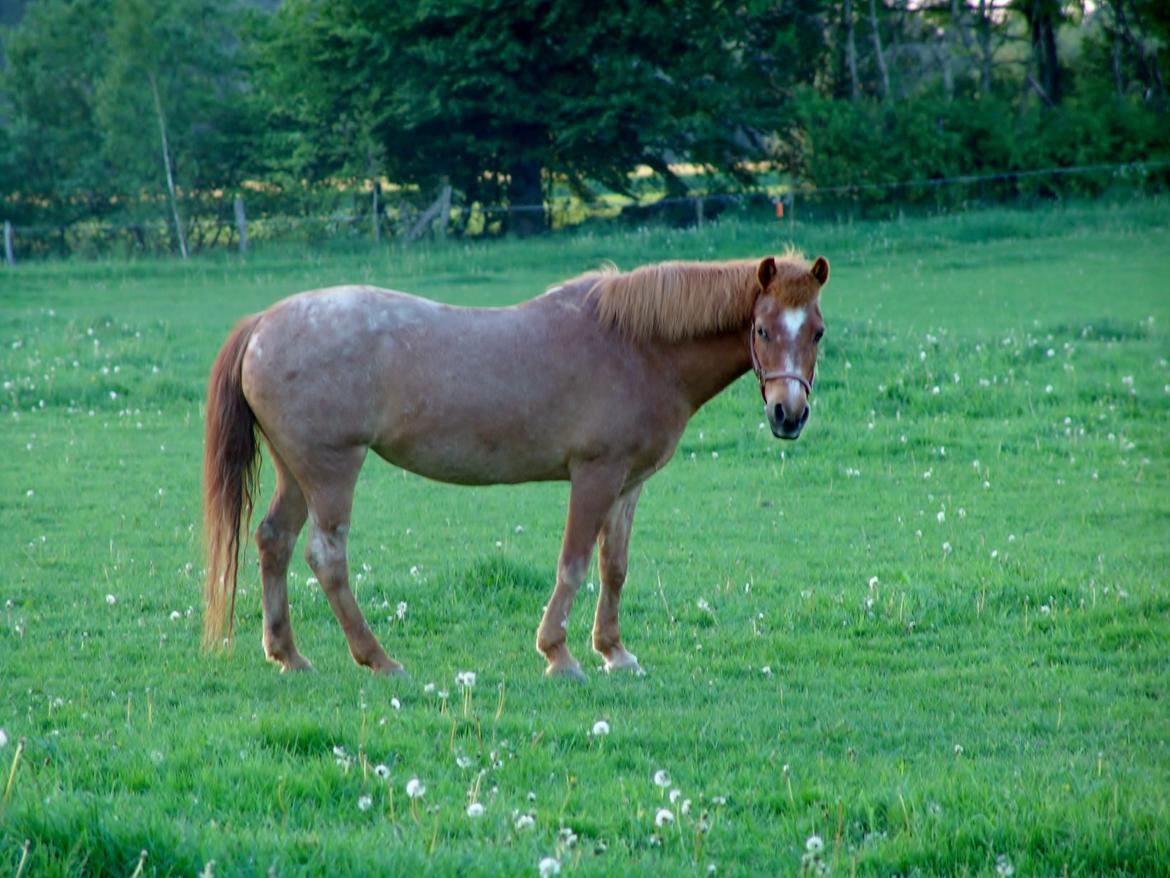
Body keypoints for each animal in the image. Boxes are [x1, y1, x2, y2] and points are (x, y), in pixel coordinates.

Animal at [201, 252, 828, 678]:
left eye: (817, 332)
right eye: (762, 328)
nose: (789, 414)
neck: (636, 346)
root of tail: (263, 323)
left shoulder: (628, 484)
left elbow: (614, 567)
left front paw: (614, 652)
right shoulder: (595, 475)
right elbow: (573, 564)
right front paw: (559, 654)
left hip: (296, 473)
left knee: (274, 541)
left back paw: (289, 654)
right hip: (331, 471)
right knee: (326, 557)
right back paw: (378, 658)